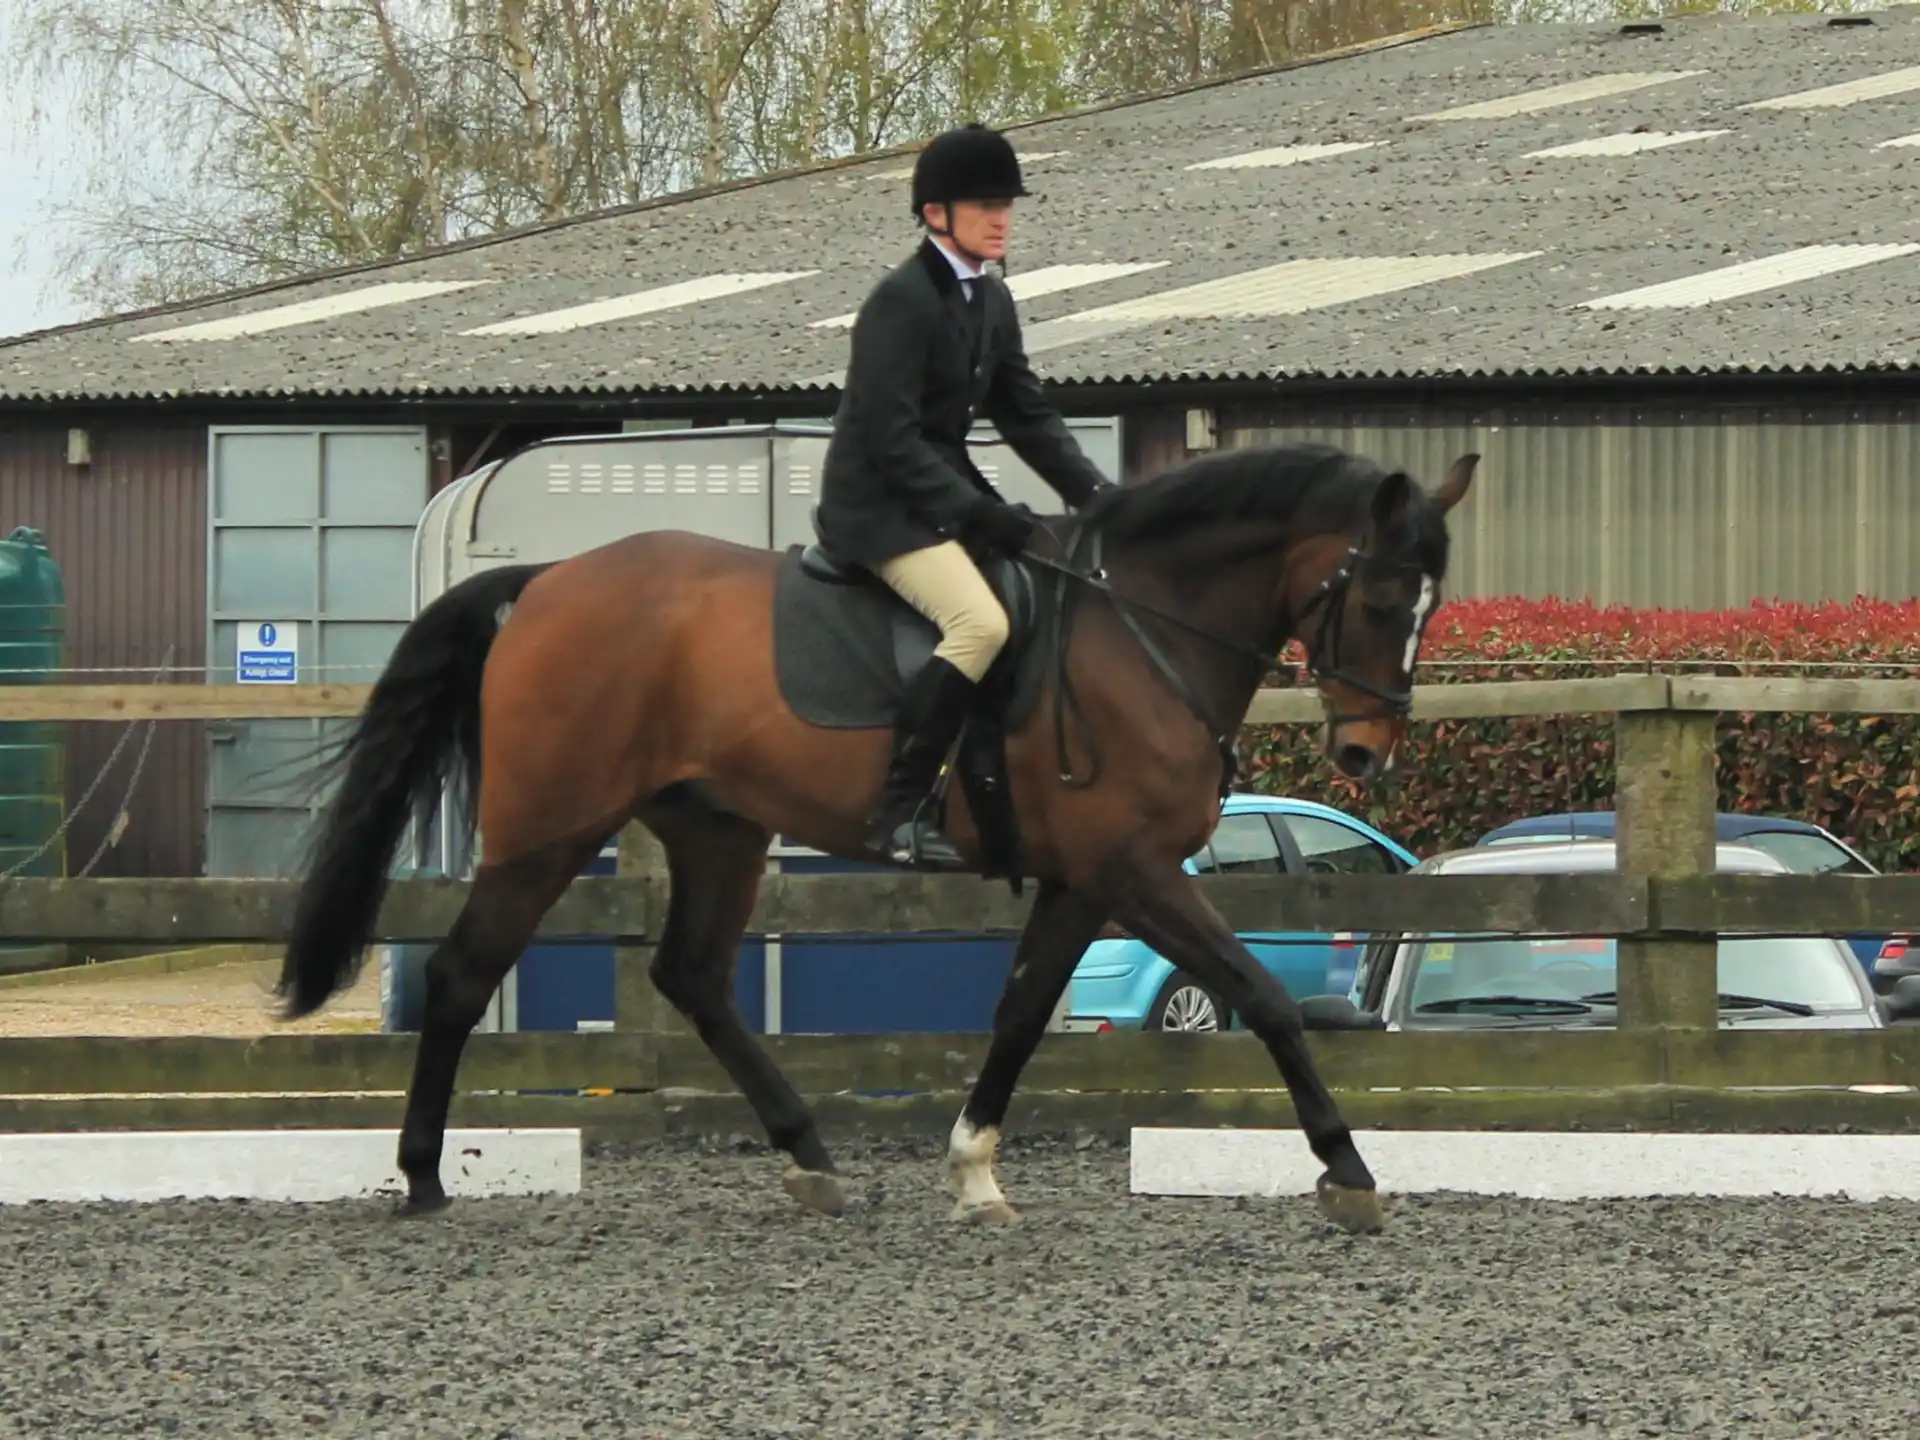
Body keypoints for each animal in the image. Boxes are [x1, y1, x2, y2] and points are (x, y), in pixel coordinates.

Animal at [274, 437, 1476, 1234]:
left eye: (1429, 606)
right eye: (1379, 598)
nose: (1366, 754)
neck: (1140, 629)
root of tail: (548, 582)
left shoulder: (1084, 881)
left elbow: (1020, 1015)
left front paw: (974, 1172)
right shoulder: (1134, 869)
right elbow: (1264, 997)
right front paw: (1348, 1171)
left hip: (717, 829)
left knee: (692, 976)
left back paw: (809, 1158)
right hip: (550, 828)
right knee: (465, 971)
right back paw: (423, 1179)